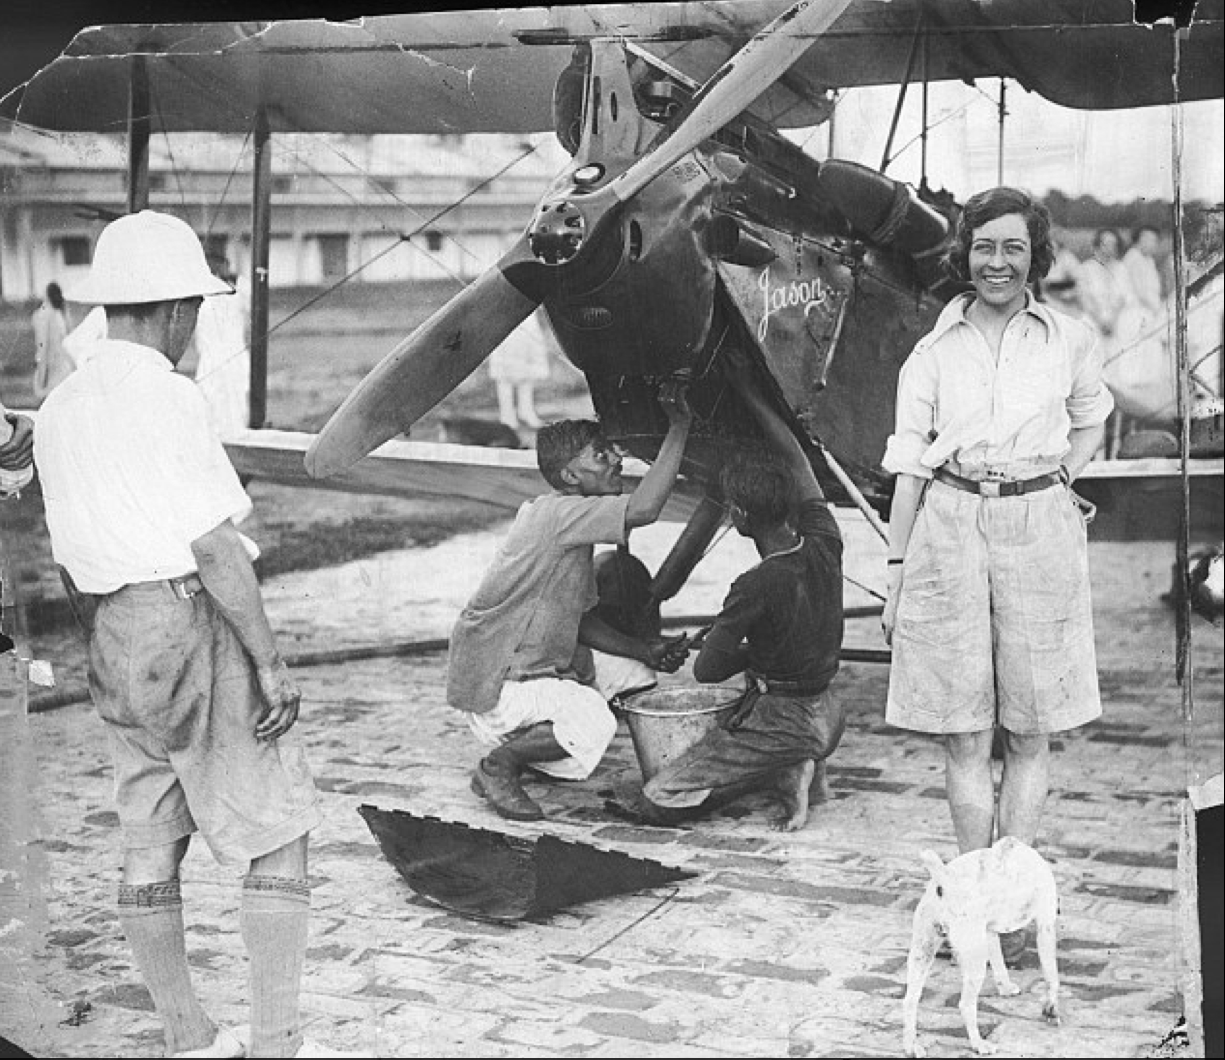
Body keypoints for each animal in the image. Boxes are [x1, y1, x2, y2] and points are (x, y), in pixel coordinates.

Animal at [901, 838, 1063, 1053]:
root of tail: (947, 881)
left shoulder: (989, 932)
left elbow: (999, 963)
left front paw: (1005, 988)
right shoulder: (1046, 927)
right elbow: (1052, 977)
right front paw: (1052, 1010)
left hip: (922, 952)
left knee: (910, 1000)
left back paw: (911, 1046)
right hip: (974, 962)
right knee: (965, 1005)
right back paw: (978, 1044)